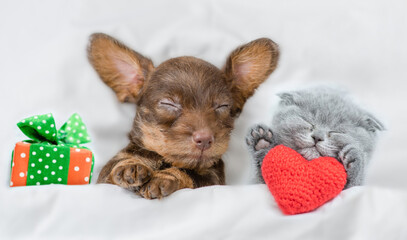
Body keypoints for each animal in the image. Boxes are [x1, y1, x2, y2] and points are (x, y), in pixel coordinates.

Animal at [247, 86, 384, 189]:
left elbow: (354, 185)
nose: (317, 137)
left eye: (336, 131)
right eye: (308, 122)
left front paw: (353, 159)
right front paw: (262, 141)